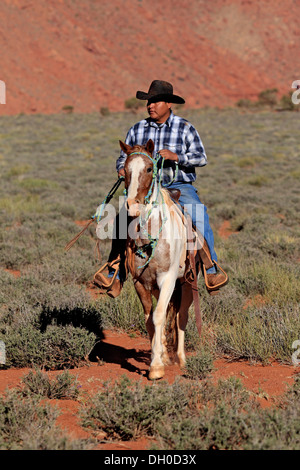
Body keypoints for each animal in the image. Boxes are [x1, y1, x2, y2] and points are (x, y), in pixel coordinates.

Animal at [119, 138, 199, 380]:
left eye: (148, 169)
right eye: (125, 169)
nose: (133, 205)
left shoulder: (168, 279)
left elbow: (160, 316)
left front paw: (156, 367)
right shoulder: (140, 282)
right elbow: (150, 320)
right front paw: (159, 357)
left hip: (186, 283)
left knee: (181, 317)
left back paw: (181, 359)